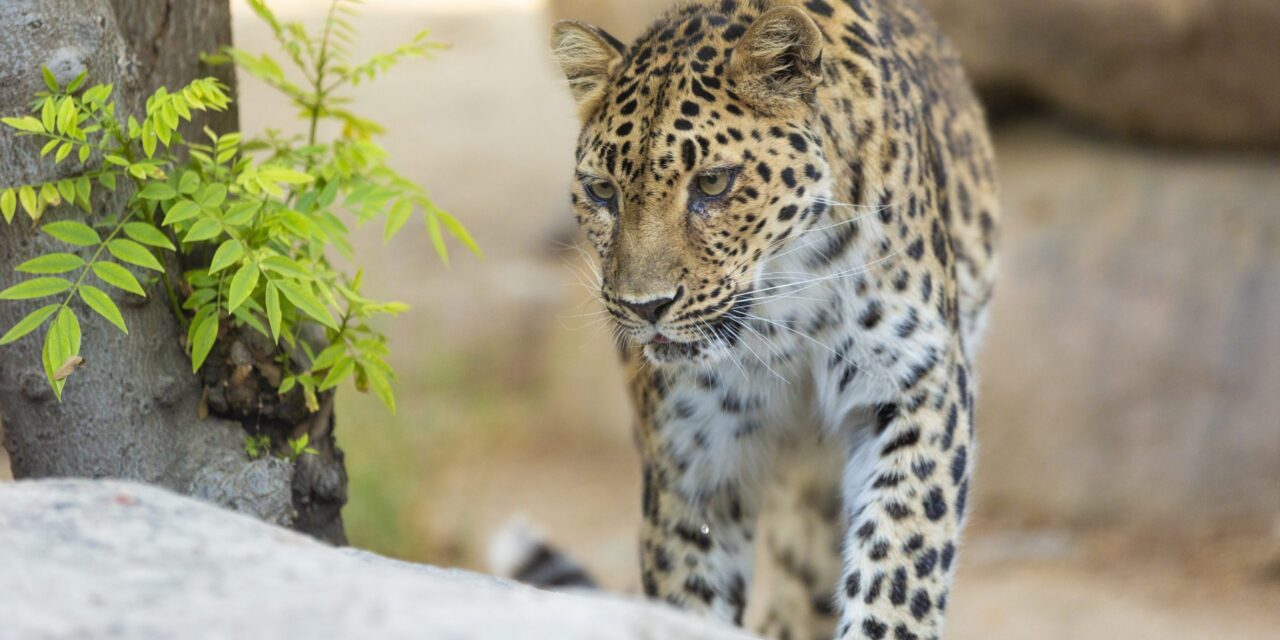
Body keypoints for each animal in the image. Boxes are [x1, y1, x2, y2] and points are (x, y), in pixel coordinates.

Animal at [504, 1, 993, 640]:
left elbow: (900, 562)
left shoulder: (918, 385)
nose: (645, 307)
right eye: (603, 191)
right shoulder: (693, 452)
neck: (785, 306)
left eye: (712, 183)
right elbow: (689, 598)